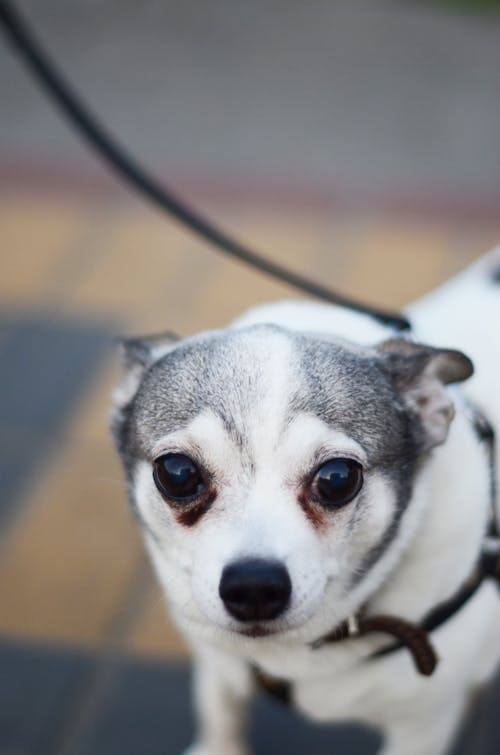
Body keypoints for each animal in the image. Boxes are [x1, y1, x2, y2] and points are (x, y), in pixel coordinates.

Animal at [111, 245, 500, 752]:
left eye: (337, 479)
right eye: (177, 473)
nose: (254, 585)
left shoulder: (423, 724)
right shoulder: (218, 663)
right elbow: (220, 712)